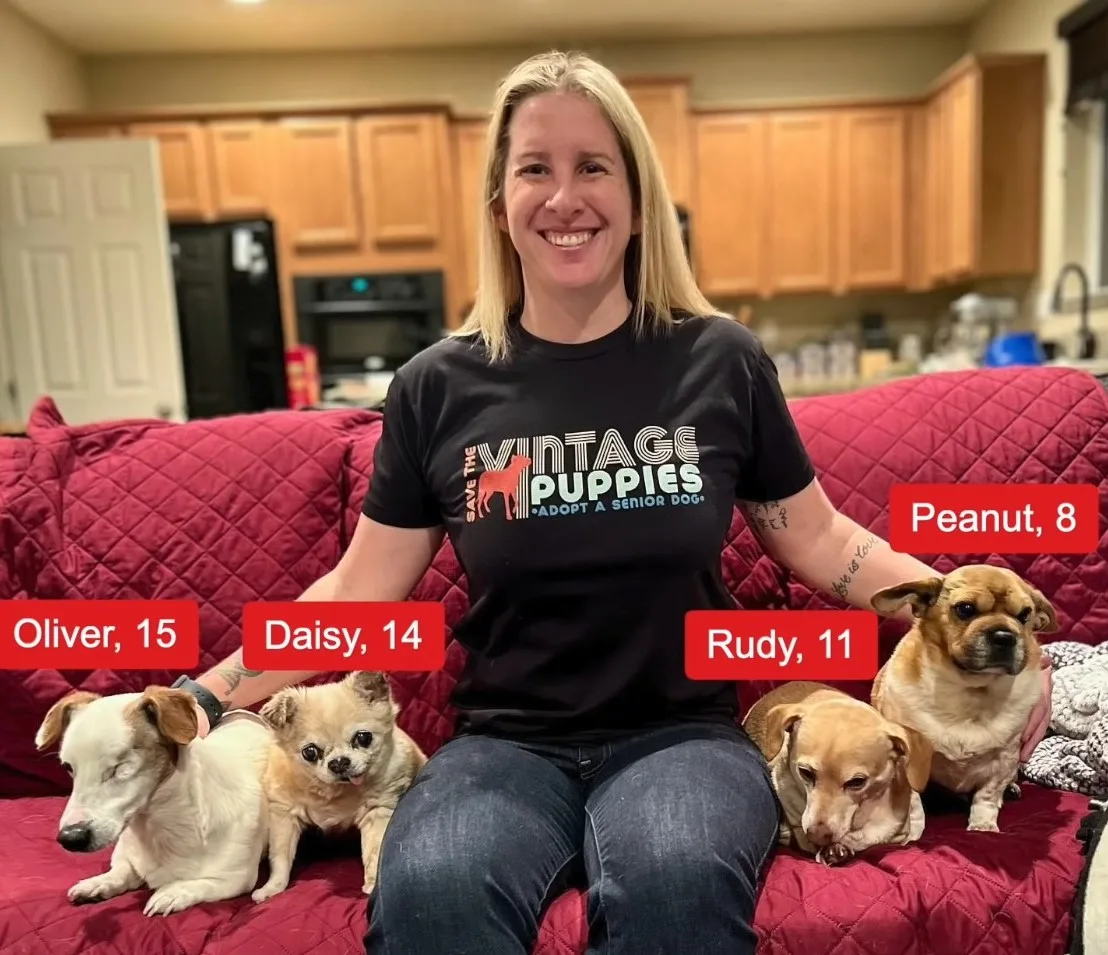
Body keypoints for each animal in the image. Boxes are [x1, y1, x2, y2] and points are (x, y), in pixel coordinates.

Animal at [33, 682, 275, 917]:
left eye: (120, 767)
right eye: (68, 767)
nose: (70, 838)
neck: (155, 828)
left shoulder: (236, 879)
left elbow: (199, 883)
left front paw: (171, 893)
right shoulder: (127, 857)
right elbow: (120, 872)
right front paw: (98, 883)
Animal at [253, 669, 425, 899]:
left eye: (363, 738)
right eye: (310, 752)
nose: (339, 762)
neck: (336, 792)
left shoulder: (377, 812)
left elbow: (374, 850)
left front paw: (373, 883)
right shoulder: (284, 816)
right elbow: (280, 856)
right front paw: (272, 888)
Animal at [864, 565, 1054, 833]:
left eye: (1025, 614)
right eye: (965, 609)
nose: (1005, 635)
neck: (969, 694)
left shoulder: (1004, 761)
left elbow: (987, 797)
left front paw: (983, 827)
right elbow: (912, 801)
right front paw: (913, 828)